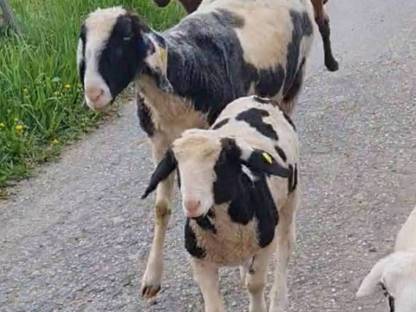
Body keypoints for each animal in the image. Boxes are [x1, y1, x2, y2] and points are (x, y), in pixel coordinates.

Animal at [142, 95, 300, 312]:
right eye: (175, 164)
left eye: (222, 158)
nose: (192, 204)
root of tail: (256, 98)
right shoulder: (200, 260)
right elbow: (214, 304)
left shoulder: (265, 243)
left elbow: (255, 284)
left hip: (289, 200)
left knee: (286, 244)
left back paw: (278, 300)